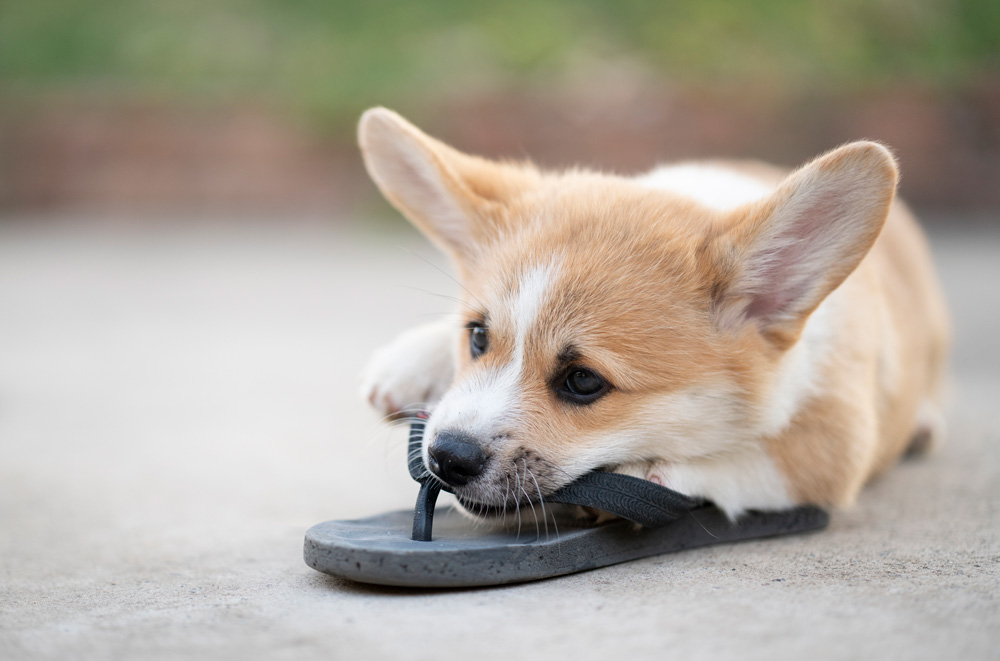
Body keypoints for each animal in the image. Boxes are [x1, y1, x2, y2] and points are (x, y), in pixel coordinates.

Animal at [356, 105, 948, 520]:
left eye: (583, 381)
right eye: (477, 337)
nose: (446, 457)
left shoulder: (836, 443)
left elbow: (744, 463)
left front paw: (646, 470)